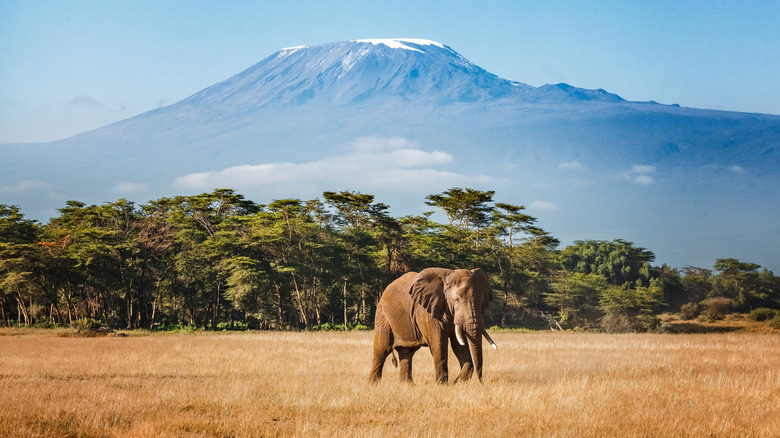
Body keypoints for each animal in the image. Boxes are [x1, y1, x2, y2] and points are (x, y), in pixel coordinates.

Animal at [369, 268, 497, 384]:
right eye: (456, 300)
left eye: (481, 301)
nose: (481, 382)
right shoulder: (428, 313)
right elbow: (439, 344)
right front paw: (442, 385)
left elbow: (459, 345)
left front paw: (456, 383)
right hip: (382, 317)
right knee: (381, 350)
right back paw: (374, 385)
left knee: (406, 353)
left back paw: (407, 386)